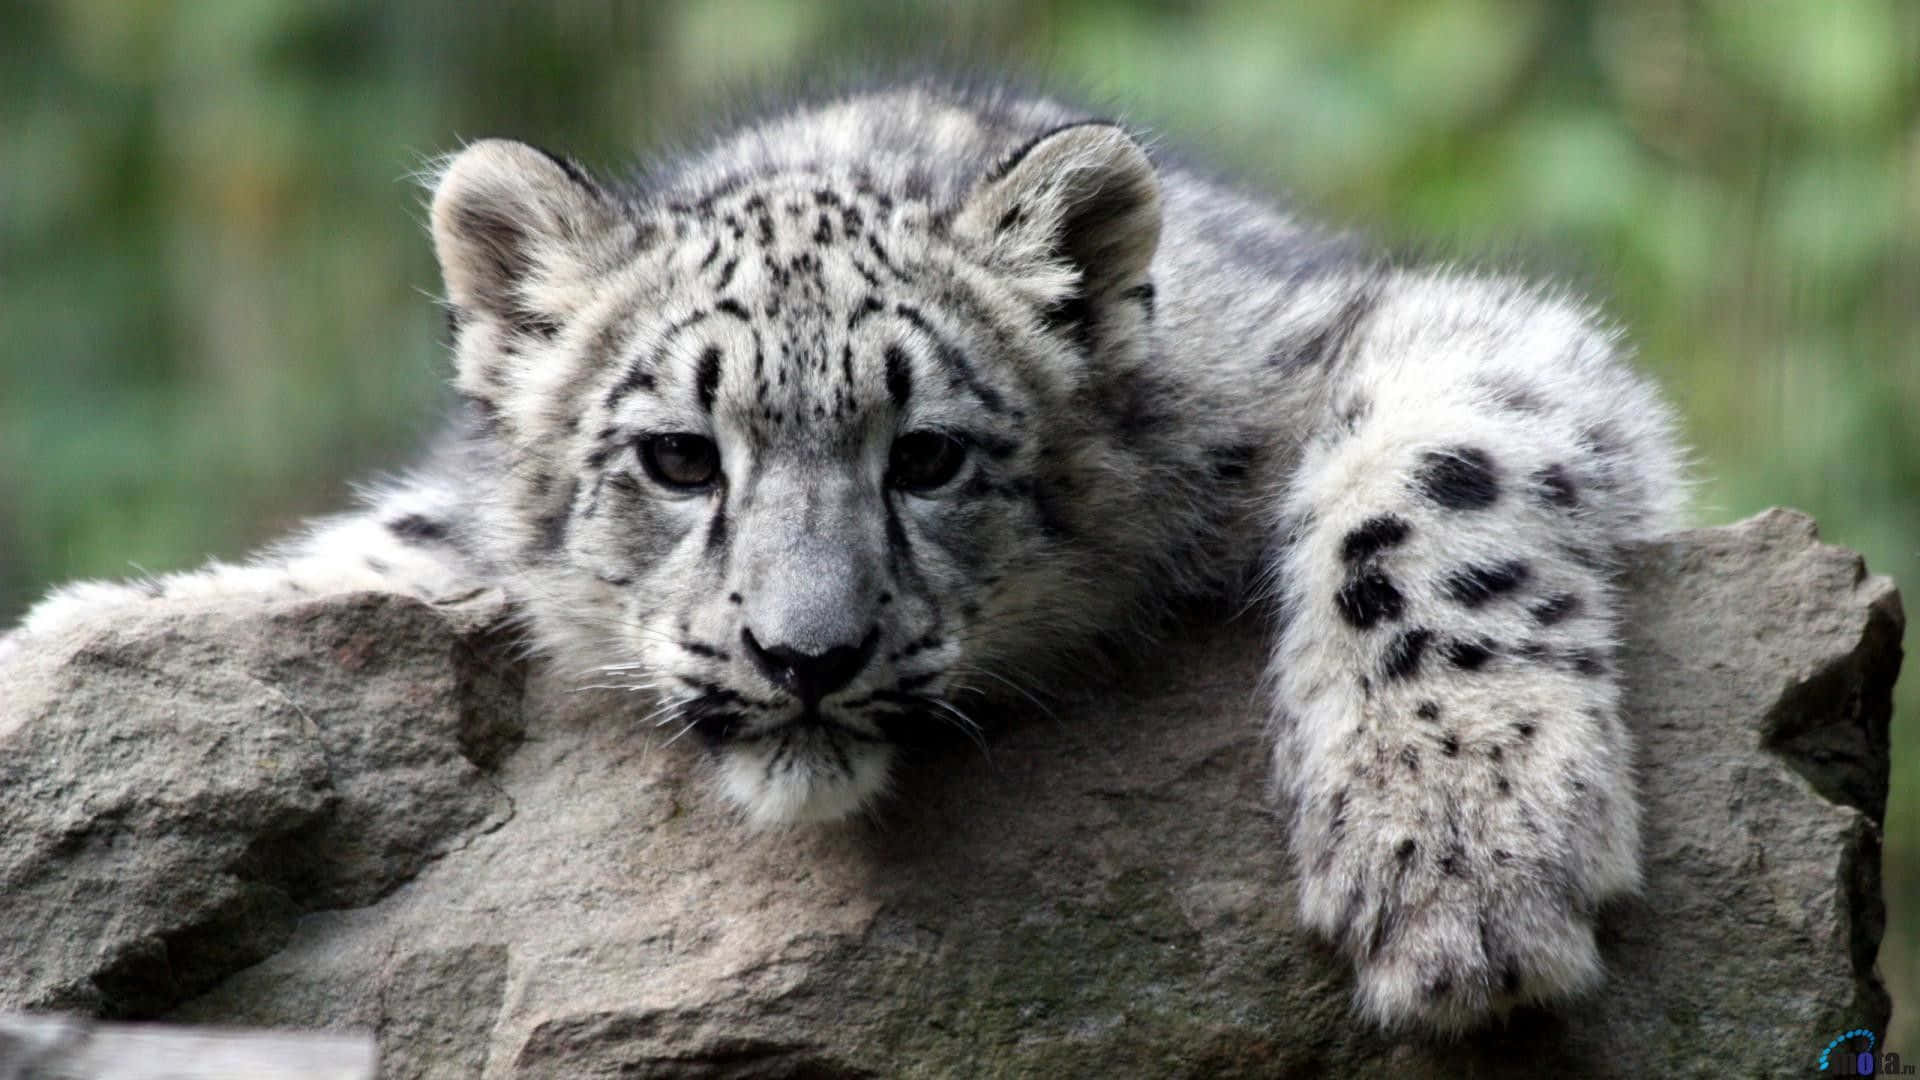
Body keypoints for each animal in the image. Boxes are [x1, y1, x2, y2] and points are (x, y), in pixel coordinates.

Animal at [4, 79, 1686, 1034]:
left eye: (927, 454)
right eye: (679, 457)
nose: (803, 655)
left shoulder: (1418, 340)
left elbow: (1434, 481)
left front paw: (1459, 861)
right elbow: (376, 553)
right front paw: (82, 666)